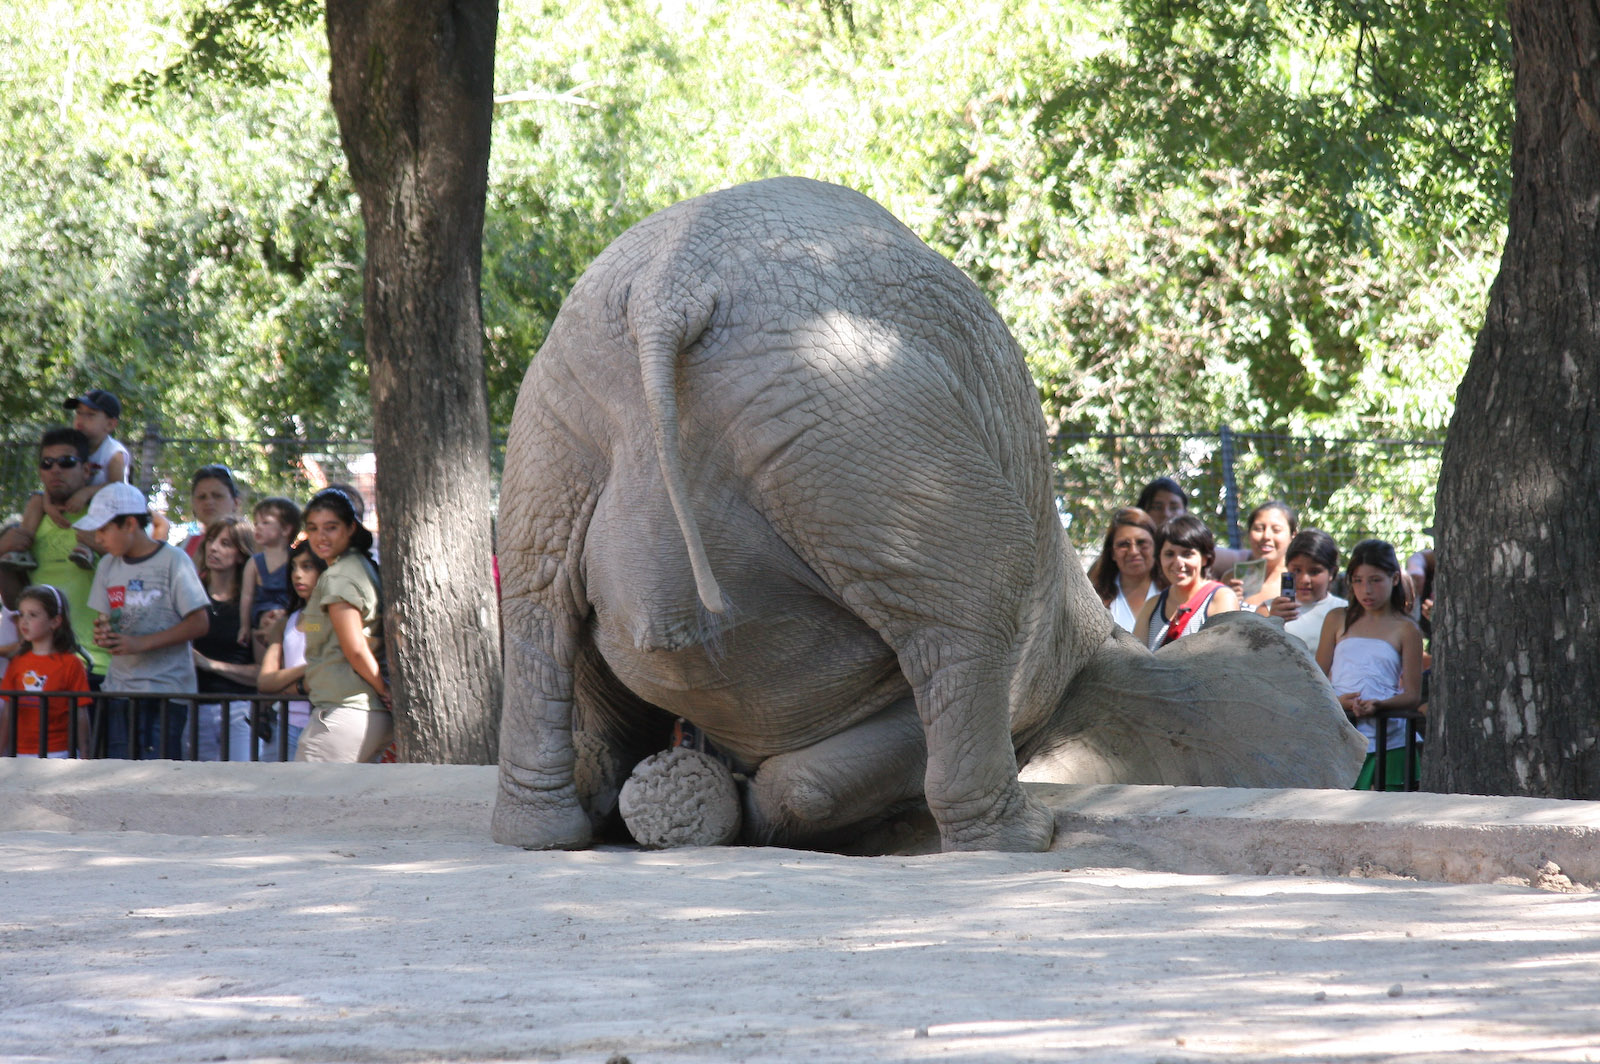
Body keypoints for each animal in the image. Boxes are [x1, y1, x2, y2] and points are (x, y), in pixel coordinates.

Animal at [491, 176, 1365, 854]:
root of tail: (671, 290)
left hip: (565, 417)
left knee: (537, 606)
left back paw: (548, 832)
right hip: (860, 421)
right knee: (975, 603)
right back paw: (1017, 841)